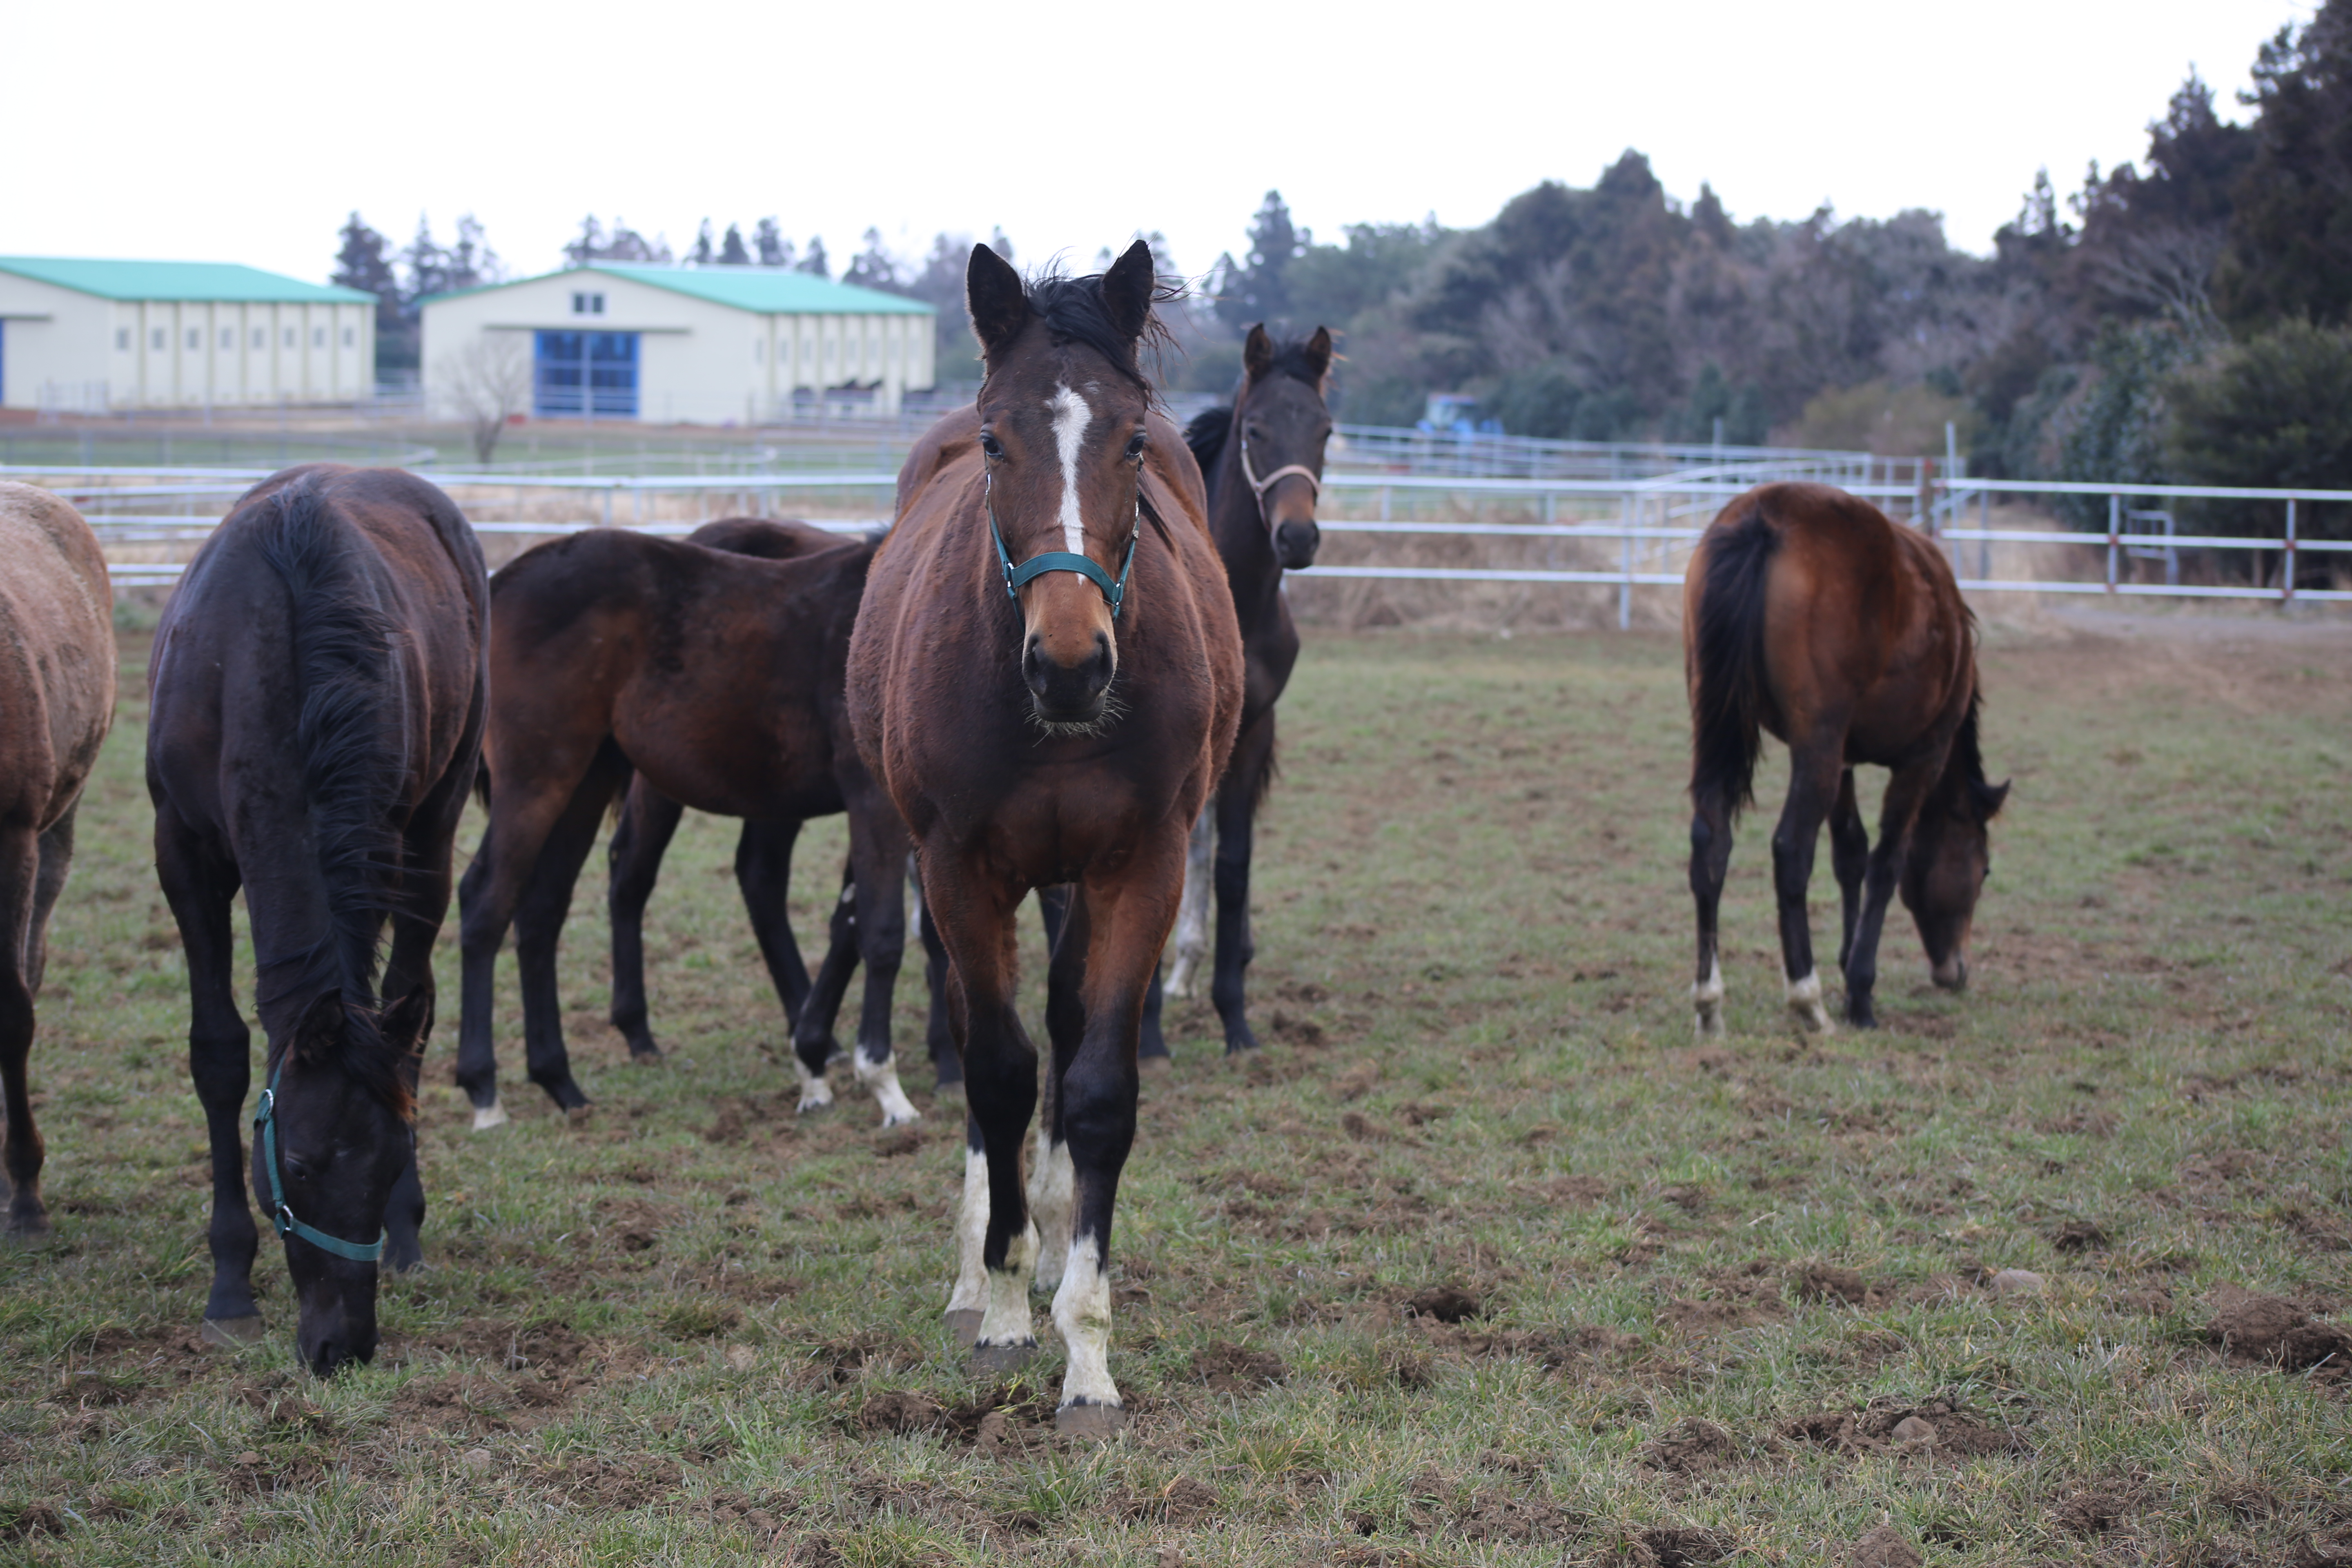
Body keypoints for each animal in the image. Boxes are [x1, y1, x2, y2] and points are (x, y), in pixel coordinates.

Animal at [147, 465, 487, 1373]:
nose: (344, 1347)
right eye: (296, 1166)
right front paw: (230, 1285)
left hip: (433, 827)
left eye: (391, 1159)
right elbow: (218, 1054)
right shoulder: (182, 853)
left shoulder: (383, 838)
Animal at [451, 524, 917, 1128]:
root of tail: (502, 581)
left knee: (542, 910)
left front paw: (819, 1056)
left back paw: (562, 1083)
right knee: (486, 901)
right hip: (538, 781)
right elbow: (881, 932)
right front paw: (886, 1087)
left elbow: (853, 923)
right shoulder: (873, 801)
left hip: (586, 781)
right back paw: (485, 1090)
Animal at [846, 242, 1251, 1439]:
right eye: (996, 440)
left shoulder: (1142, 865)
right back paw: (986, 1262)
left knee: (1067, 1030)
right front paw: (1000, 1305)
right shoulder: (960, 869)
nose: (1069, 663)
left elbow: (1098, 1084)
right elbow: (992, 1068)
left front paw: (1087, 1350)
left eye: (1131, 441)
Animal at [1684, 484, 2013, 1034]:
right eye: (1984, 871)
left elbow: (1851, 855)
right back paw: (1807, 999)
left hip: (1729, 729)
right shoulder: (1922, 758)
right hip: (1817, 748)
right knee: (1791, 850)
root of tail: (1764, 518)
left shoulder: (1842, 761)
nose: (1955, 971)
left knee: (1711, 842)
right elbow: (1886, 863)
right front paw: (1859, 992)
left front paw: (1847, 961)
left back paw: (1710, 1004)